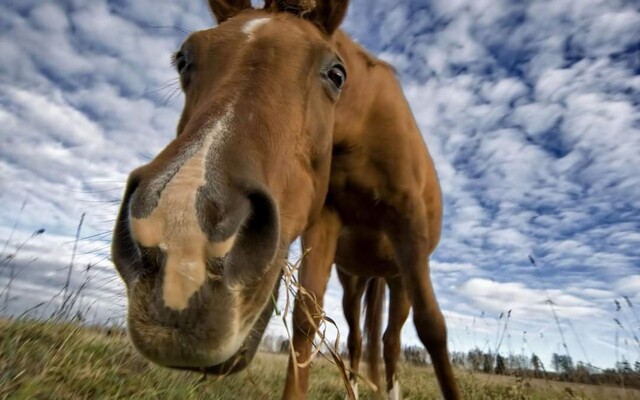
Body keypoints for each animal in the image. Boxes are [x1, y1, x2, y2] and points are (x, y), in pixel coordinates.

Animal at [111, 0, 460, 400]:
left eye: (337, 74)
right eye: (183, 60)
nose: (183, 246)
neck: (364, 127)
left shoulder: (409, 223)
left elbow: (432, 327)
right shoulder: (325, 221)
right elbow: (306, 319)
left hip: (399, 277)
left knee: (391, 340)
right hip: (354, 279)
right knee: (359, 339)